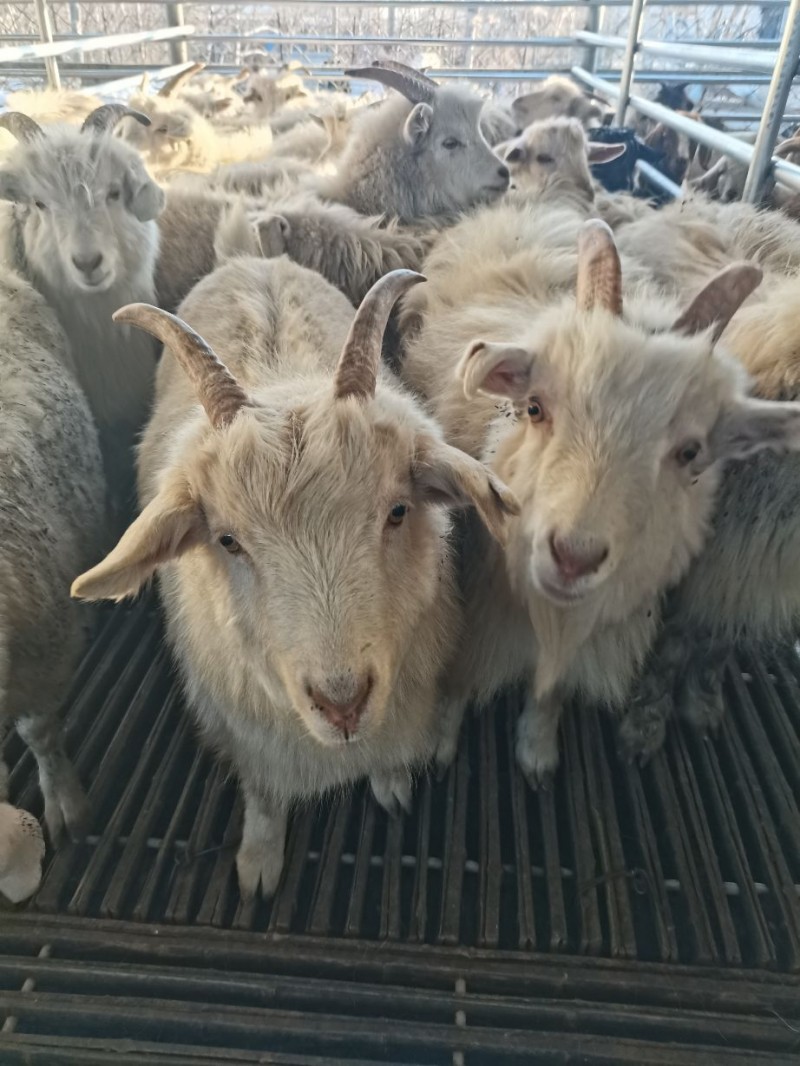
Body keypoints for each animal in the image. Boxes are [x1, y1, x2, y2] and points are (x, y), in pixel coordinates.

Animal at [71, 264, 518, 898]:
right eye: (227, 540)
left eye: (398, 511)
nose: (342, 703)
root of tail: (253, 261)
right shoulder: (246, 732)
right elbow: (262, 793)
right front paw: (258, 862)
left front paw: (391, 784)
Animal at [403, 215, 800, 784]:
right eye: (535, 407)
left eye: (690, 452)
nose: (574, 557)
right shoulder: (476, 600)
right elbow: (460, 673)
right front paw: (439, 741)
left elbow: (552, 694)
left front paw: (537, 747)